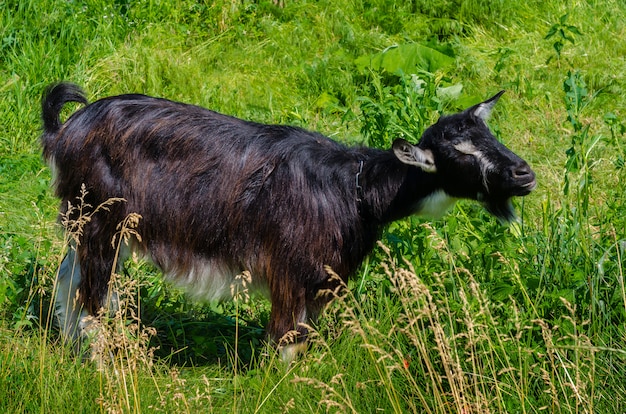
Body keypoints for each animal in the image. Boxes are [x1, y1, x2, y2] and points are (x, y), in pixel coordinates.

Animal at [41, 82, 532, 358]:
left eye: (489, 135)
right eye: (458, 152)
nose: (524, 174)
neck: (356, 187)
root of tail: (67, 130)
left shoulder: (319, 282)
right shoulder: (292, 270)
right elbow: (286, 341)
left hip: (94, 226)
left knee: (69, 280)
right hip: (102, 220)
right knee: (93, 298)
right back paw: (103, 364)